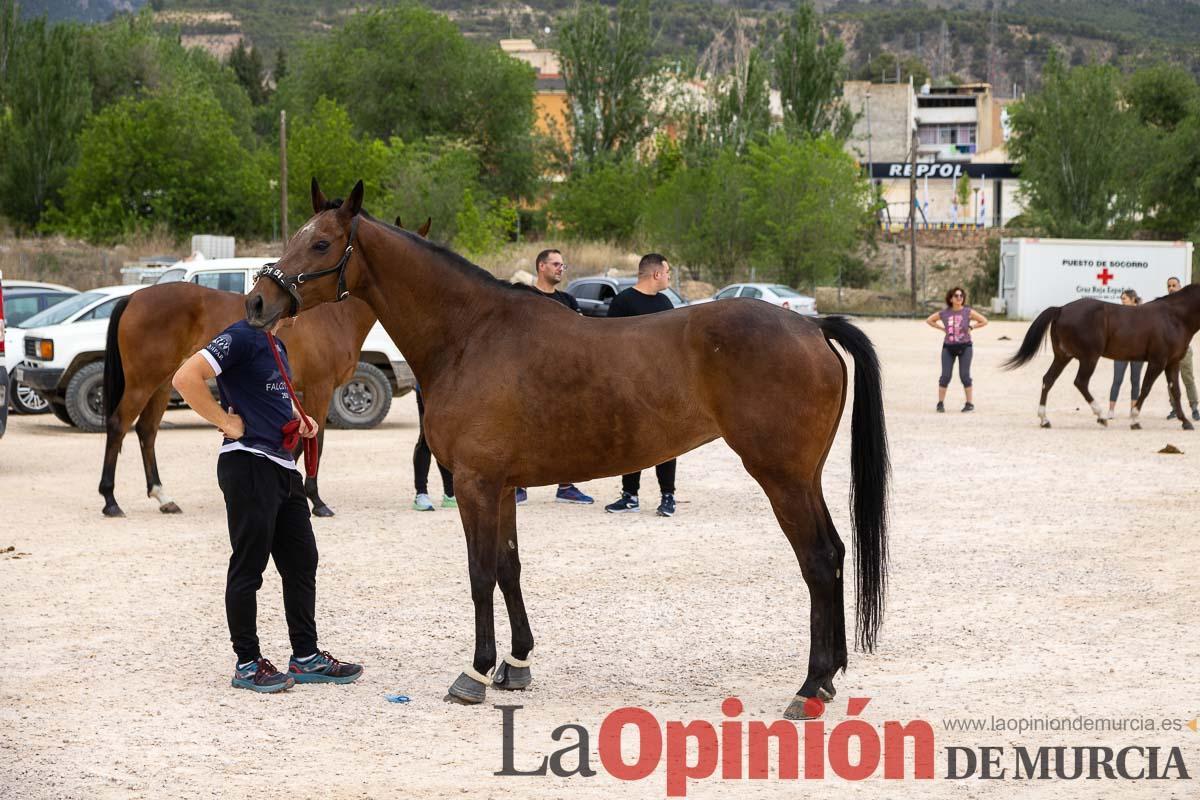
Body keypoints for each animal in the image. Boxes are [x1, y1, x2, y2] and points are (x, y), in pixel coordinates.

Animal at [97, 219, 430, 519]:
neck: (334, 316)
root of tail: (134, 296)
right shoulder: (319, 389)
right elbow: (317, 442)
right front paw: (317, 502)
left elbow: (300, 443)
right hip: (142, 382)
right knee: (118, 425)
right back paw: (111, 500)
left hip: (163, 383)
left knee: (147, 430)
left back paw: (163, 497)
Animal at [243, 179, 890, 719]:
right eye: (295, 237)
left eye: (321, 243)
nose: (256, 304)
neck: (470, 334)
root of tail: (810, 326)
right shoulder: (502, 485)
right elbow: (509, 568)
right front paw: (516, 665)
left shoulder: (476, 483)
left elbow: (480, 572)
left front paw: (475, 672)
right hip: (803, 478)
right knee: (835, 553)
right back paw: (827, 680)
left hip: (781, 477)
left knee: (818, 560)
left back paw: (809, 687)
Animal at [1003, 286, 1200, 430]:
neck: (1174, 317)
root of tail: (1061, 309)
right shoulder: (1157, 362)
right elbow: (1145, 388)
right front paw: (1134, 420)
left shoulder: (1172, 363)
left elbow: (1176, 391)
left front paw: (1185, 422)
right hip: (1089, 357)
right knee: (1080, 382)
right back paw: (1101, 416)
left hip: (1063, 357)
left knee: (1048, 380)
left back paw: (1045, 420)